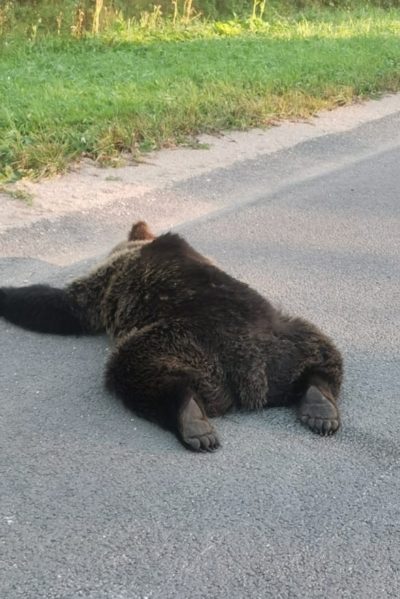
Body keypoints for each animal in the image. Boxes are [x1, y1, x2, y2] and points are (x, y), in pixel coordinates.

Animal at [0, 223, 344, 452]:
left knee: (134, 369)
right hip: (284, 340)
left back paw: (191, 420)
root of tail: (250, 371)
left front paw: (7, 292)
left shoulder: (107, 281)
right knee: (322, 351)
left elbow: (64, 306)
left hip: (178, 343)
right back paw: (320, 406)